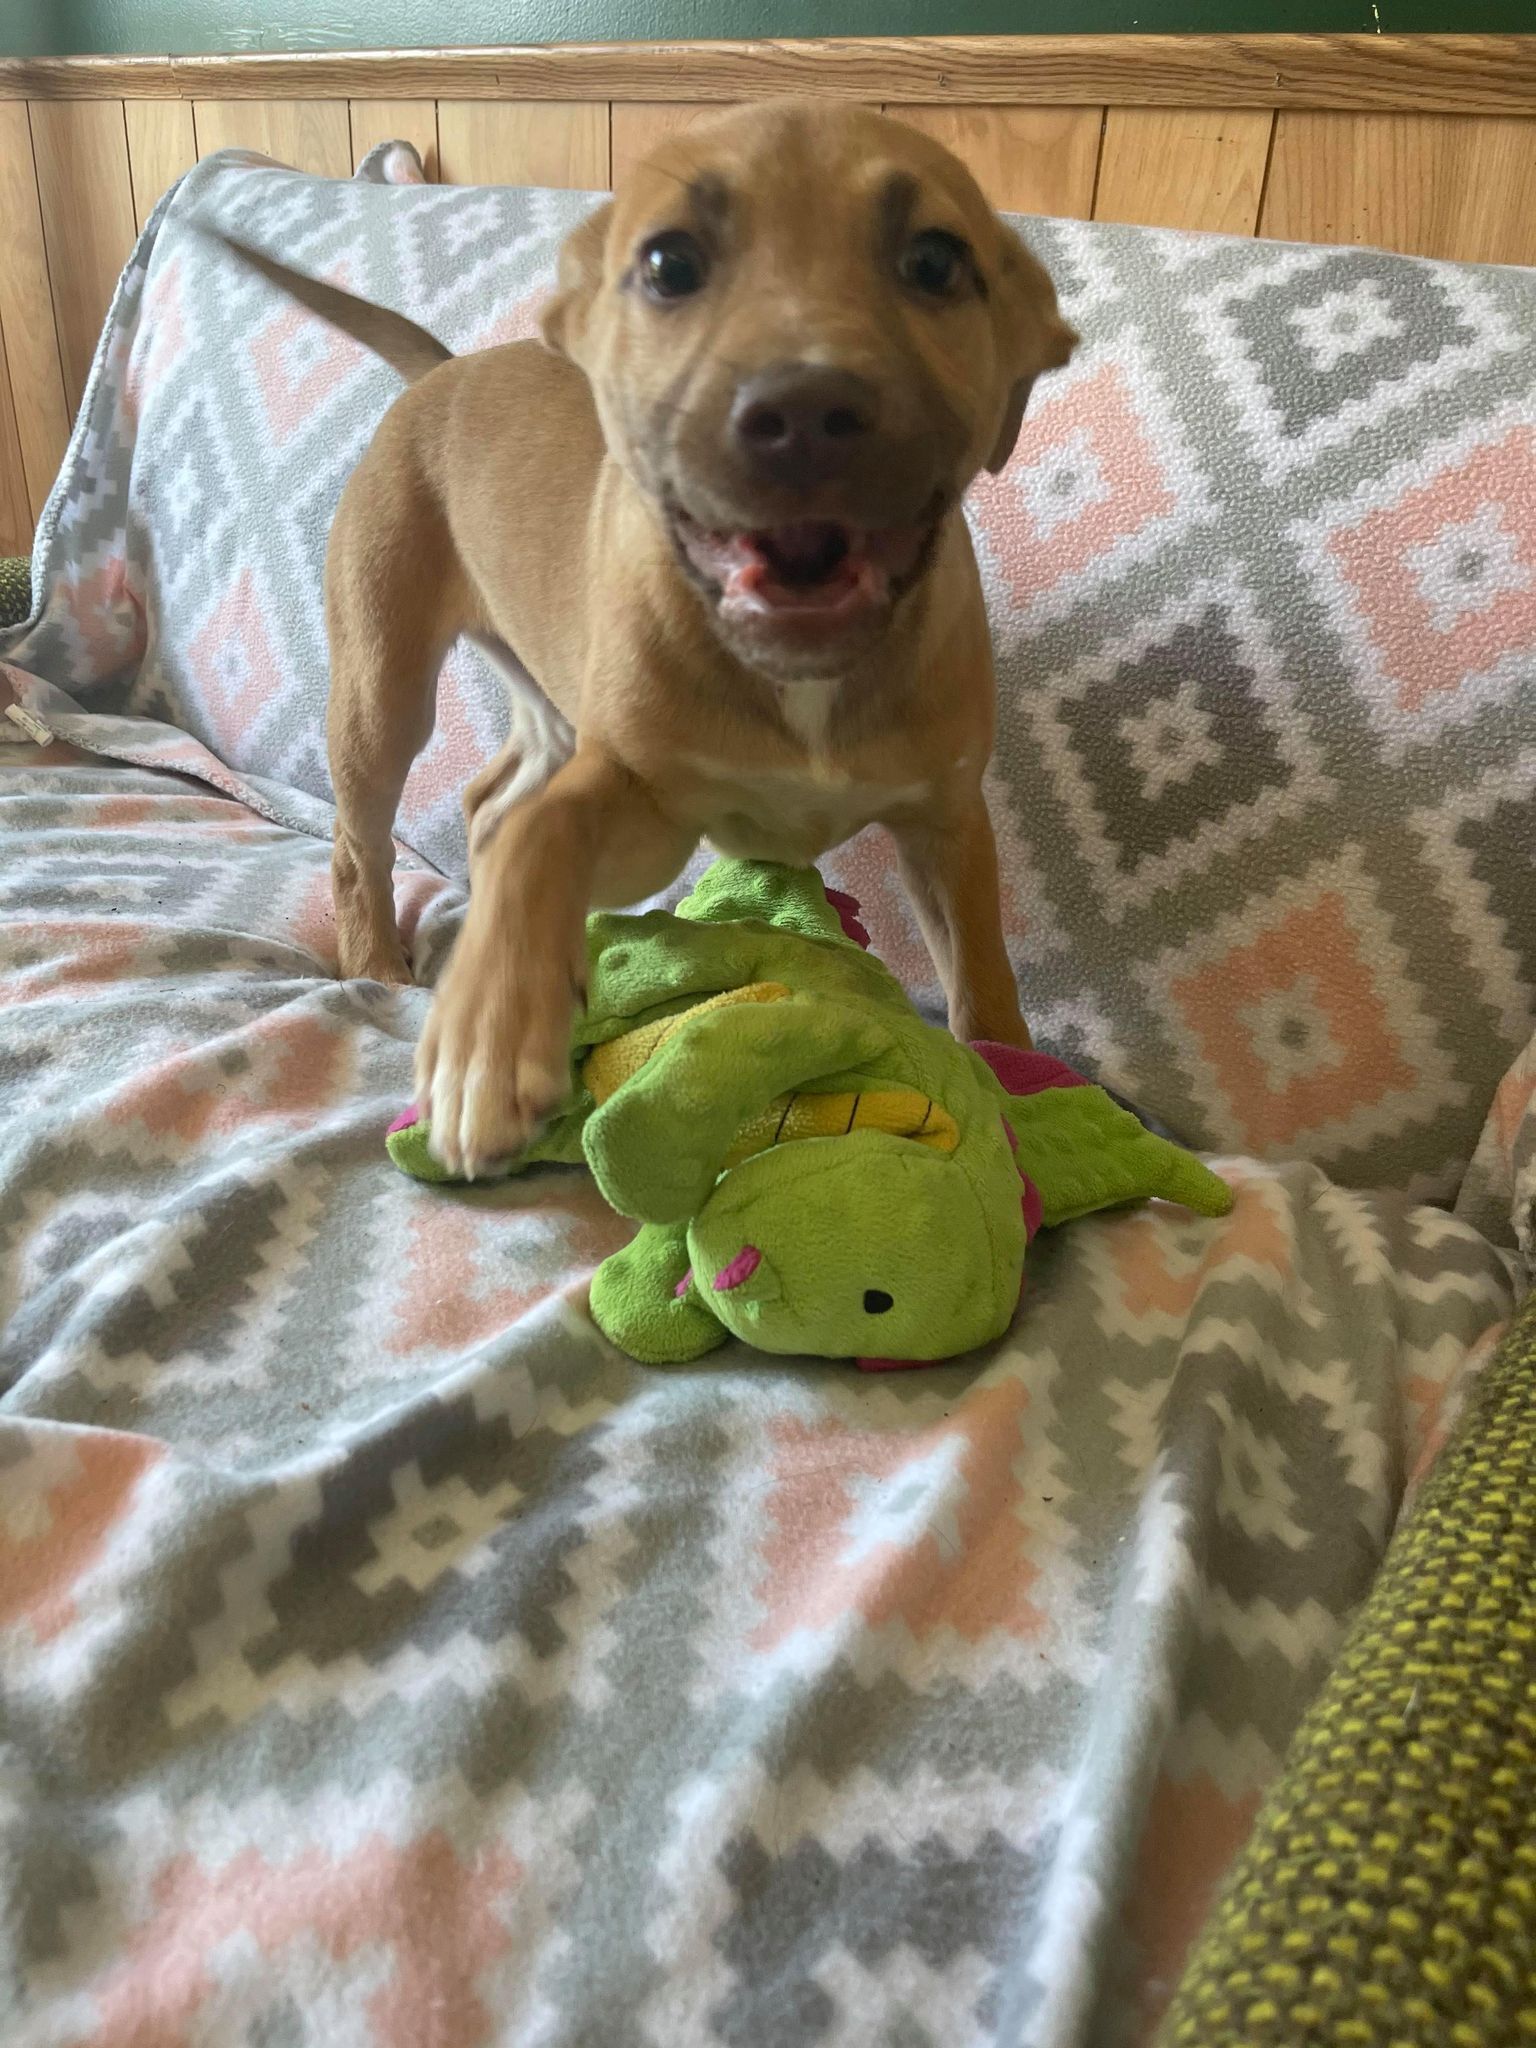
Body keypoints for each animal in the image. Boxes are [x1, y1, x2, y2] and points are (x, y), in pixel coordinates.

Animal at [225, 103, 1073, 1179]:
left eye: (934, 261)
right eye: (670, 263)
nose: (803, 413)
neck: (802, 684)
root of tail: (449, 367)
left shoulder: (947, 821)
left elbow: (985, 973)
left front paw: (1021, 1083)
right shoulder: (644, 795)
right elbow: (544, 840)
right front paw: (491, 1038)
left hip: (545, 694)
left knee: (492, 801)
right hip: (385, 685)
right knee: (367, 840)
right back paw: (379, 964)